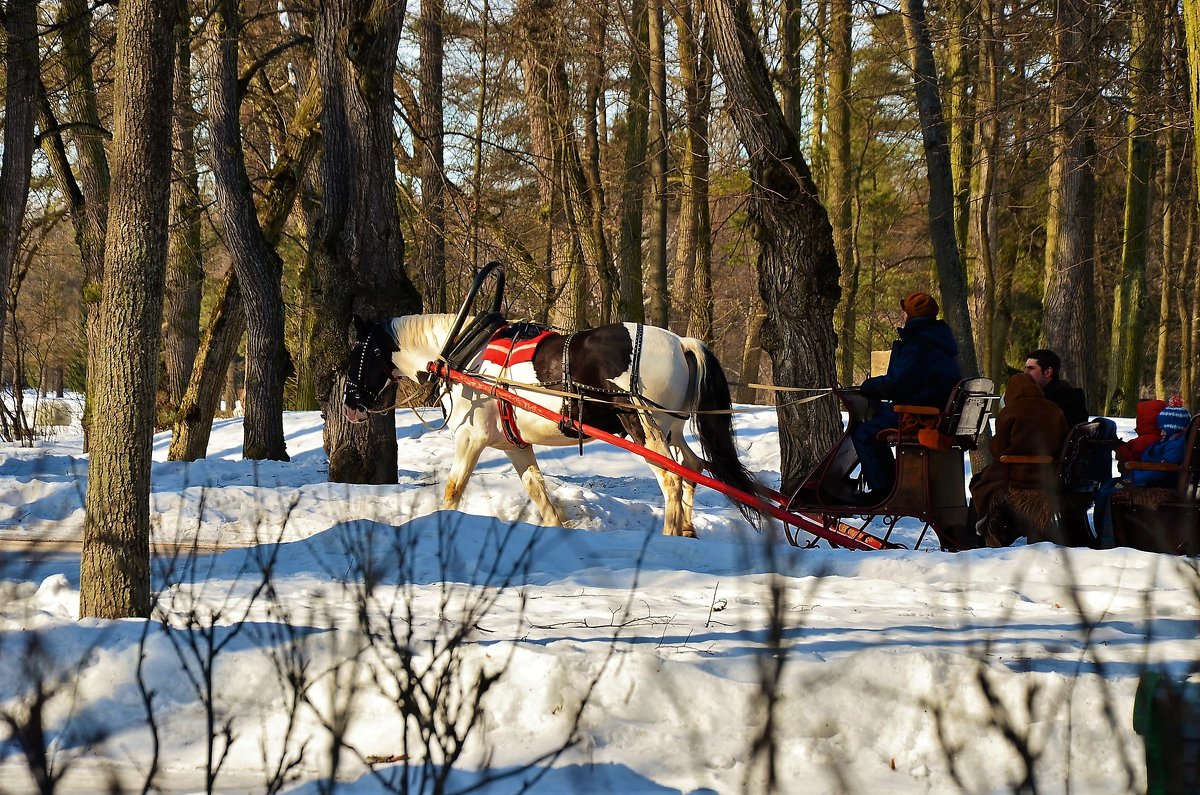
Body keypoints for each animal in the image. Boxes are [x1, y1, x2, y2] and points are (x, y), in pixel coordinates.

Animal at [343, 314, 763, 538]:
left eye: (359, 354)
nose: (350, 407)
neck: (464, 356)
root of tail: (680, 342)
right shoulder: (515, 446)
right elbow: (539, 493)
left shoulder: (470, 439)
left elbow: (452, 491)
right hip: (671, 428)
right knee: (691, 467)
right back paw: (688, 531)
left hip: (643, 428)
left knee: (672, 480)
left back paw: (669, 537)